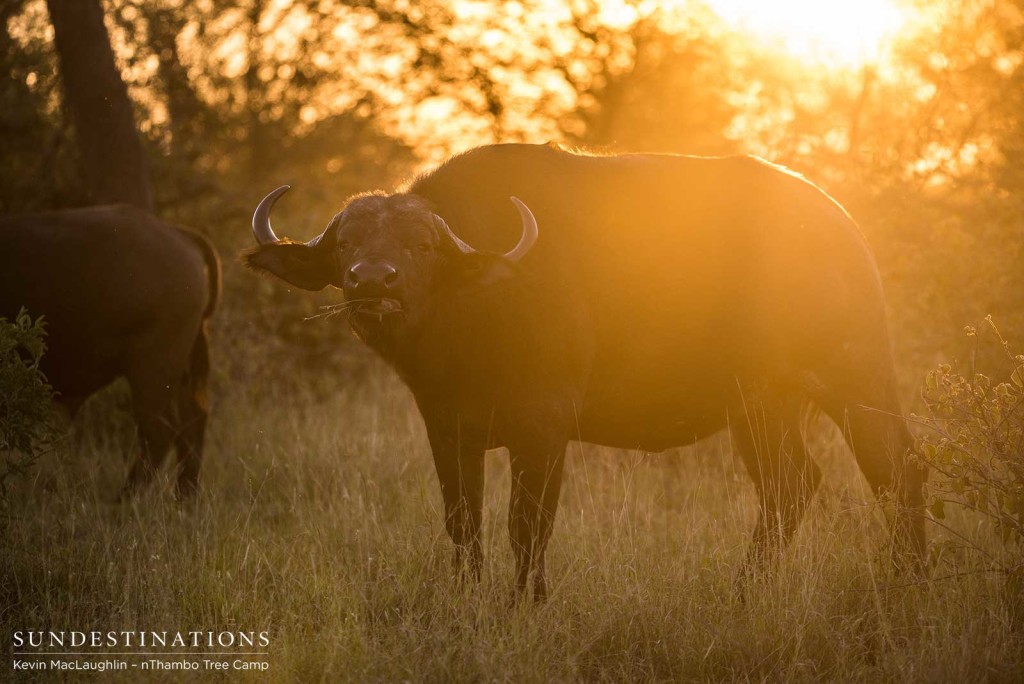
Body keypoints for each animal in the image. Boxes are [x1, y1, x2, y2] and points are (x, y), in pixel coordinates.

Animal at [1, 202, 221, 497]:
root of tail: (177, 233)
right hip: (181, 365)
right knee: (192, 422)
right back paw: (184, 496)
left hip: (153, 367)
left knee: (160, 431)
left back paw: (126, 497)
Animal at [243, 143, 925, 597]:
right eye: (347, 244)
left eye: (421, 245)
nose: (372, 282)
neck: (476, 313)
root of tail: (843, 228)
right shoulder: (447, 430)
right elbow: (463, 526)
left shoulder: (543, 431)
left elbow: (526, 527)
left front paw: (526, 603)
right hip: (761, 407)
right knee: (791, 485)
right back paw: (745, 590)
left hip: (856, 377)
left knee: (896, 468)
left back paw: (908, 580)